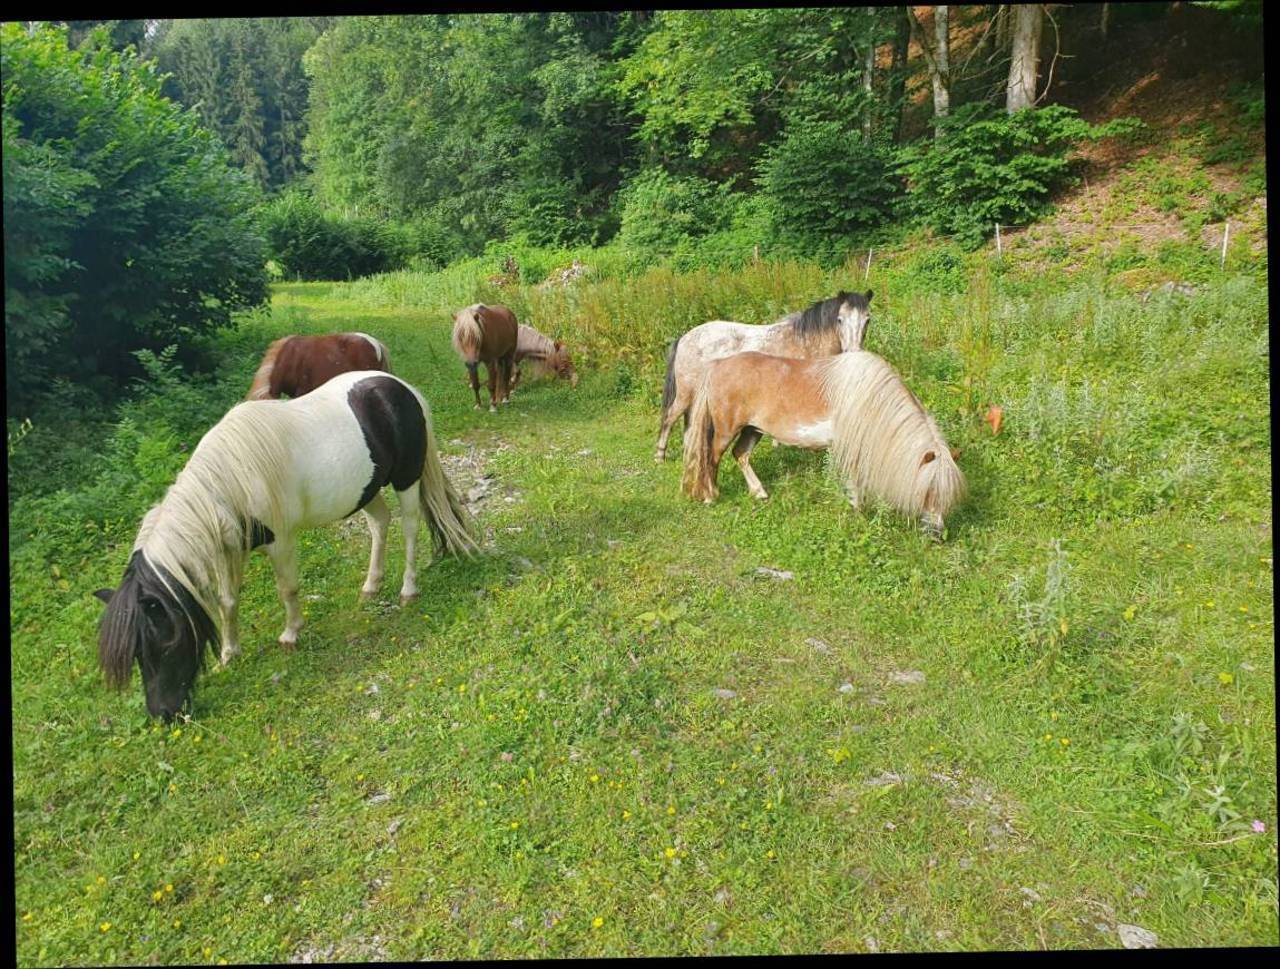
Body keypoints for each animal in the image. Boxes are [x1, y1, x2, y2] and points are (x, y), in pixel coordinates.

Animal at [93, 371, 476, 716]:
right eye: (137, 654)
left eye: (164, 643)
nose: (163, 713)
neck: (230, 481)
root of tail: (399, 386)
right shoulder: (228, 550)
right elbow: (227, 602)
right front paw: (229, 654)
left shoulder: (280, 542)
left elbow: (287, 589)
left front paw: (291, 634)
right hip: (365, 491)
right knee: (380, 524)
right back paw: (371, 586)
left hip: (406, 479)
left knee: (410, 527)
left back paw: (408, 589)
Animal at [655, 290, 875, 460]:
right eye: (840, 320)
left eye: (867, 320)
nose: (854, 352)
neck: (806, 342)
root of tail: (684, 338)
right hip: (686, 394)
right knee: (669, 418)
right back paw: (660, 456)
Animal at [680, 348, 962, 537]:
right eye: (928, 492)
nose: (937, 534)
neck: (871, 400)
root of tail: (716, 365)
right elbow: (854, 480)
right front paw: (857, 511)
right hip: (726, 430)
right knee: (711, 458)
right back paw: (710, 496)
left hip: (753, 429)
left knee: (741, 454)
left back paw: (759, 492)